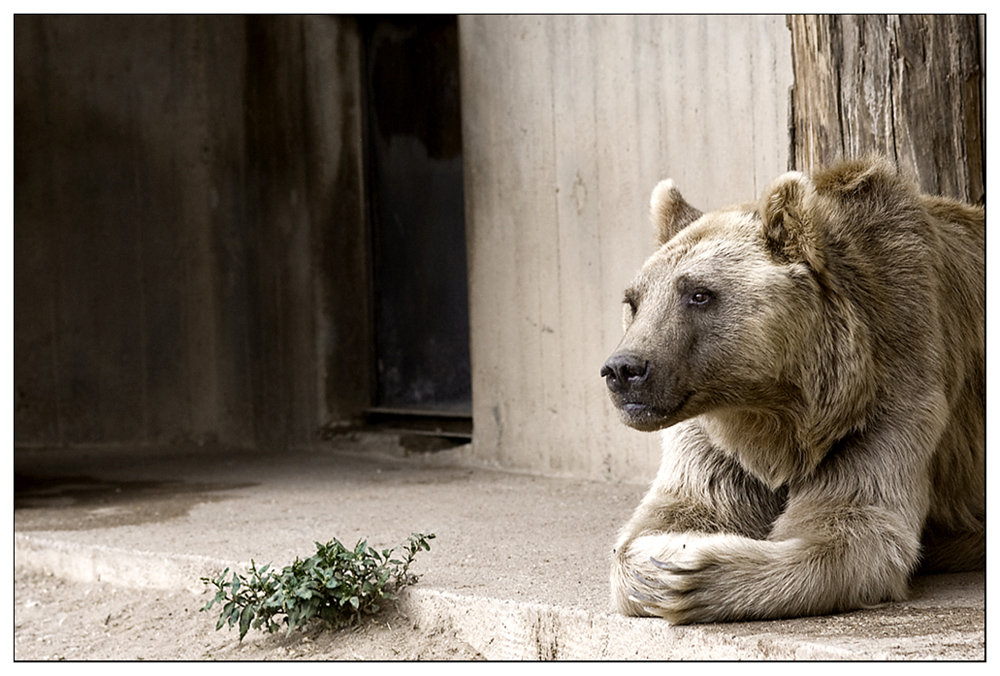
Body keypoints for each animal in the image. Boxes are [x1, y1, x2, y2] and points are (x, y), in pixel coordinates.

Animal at [600, 154, 984, 624]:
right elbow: (674, 514)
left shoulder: (892, 395)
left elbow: (853, 531)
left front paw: (688, 569)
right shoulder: (716, 433)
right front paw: (661, 556)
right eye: (633, 301)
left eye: (699, 294)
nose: (624, 369)